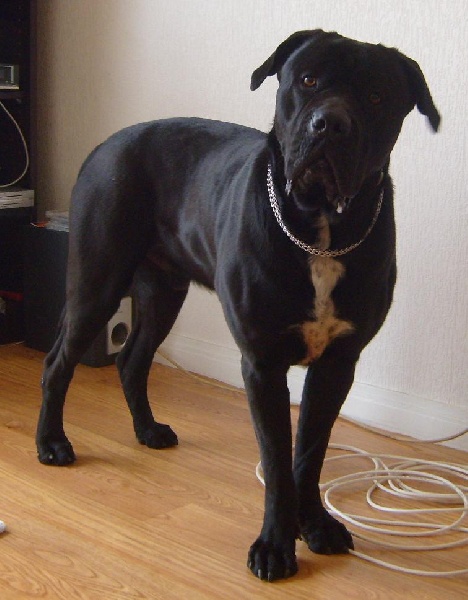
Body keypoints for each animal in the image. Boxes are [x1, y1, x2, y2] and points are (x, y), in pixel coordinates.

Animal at [36, 30, 440, 581]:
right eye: (307, 79)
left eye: (377, 96)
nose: (330, 124)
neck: (321, 231)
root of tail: (106, 144)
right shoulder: (263, 364)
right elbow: (277, 459)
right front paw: (275, 544)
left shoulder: (338, 364)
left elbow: (309, 452)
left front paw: (314, 525)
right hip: (97, 281)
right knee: (59, 363)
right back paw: (51, 443)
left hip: (163, 292)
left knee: (131, 360)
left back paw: (147, 430)